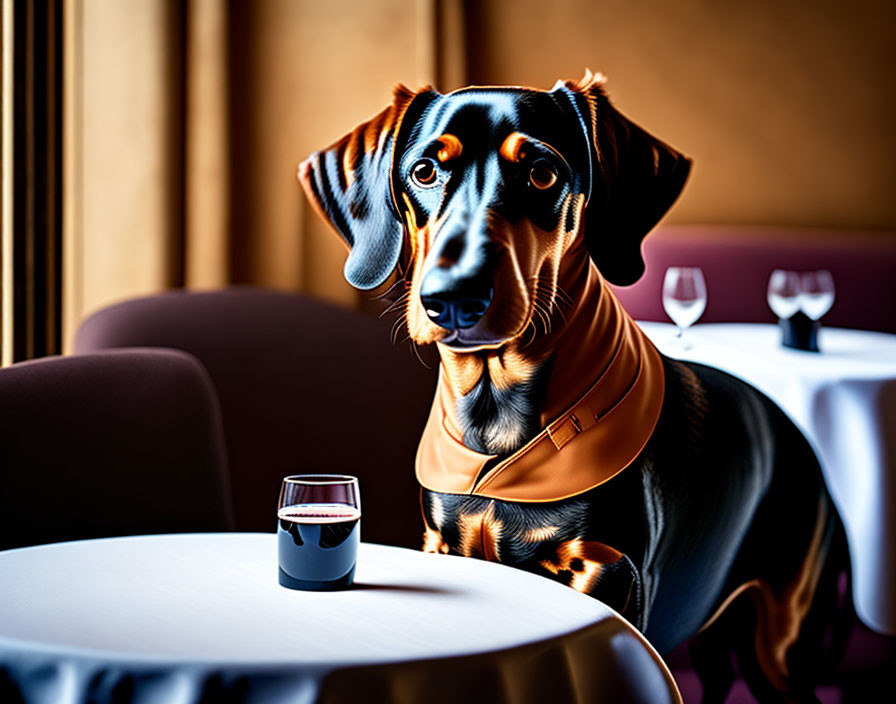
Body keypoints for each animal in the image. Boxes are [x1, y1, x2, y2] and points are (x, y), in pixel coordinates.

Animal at [300, 73, 848, 704]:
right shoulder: (442, 543)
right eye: (424, 171)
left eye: (542, 173)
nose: (453, 297)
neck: (495, 421)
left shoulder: (607, 568)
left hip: (780, 643)